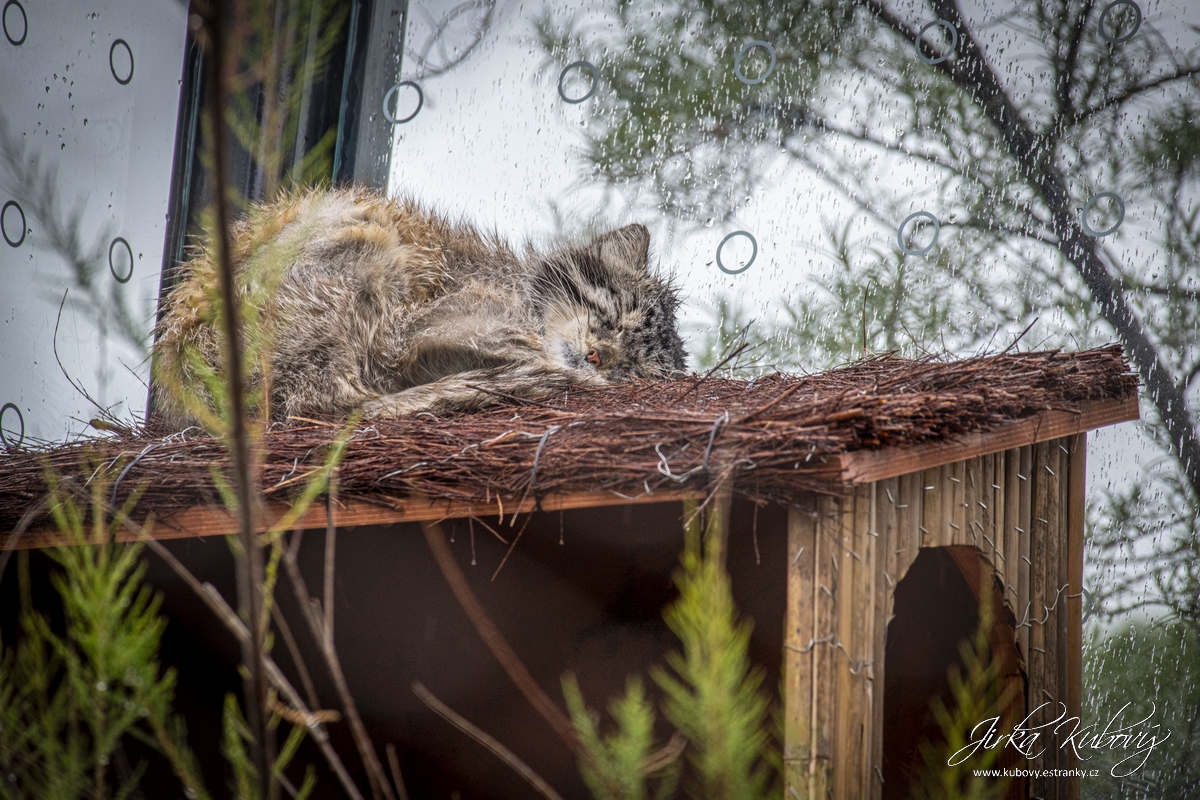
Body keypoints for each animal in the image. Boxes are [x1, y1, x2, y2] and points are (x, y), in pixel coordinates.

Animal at [152, 188, 686, 424]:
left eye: (635, 367)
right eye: (613, 317)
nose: (596, 356)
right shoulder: (438, 308)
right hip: (363, 240)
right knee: (330, 399)